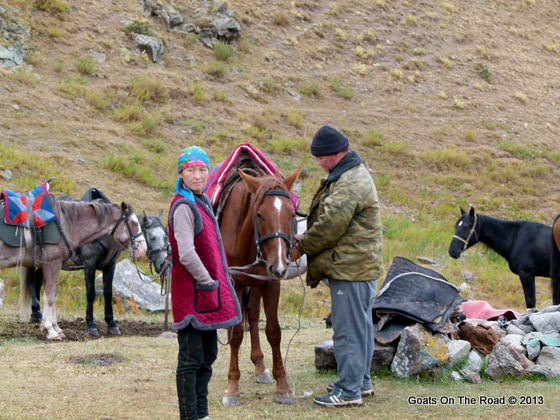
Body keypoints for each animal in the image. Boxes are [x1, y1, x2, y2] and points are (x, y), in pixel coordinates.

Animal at [220, 167, 302, 406]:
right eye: (259, 214)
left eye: (291, 215)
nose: (280, 265)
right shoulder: (235, 282)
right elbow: (236, 333)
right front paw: (232, 388)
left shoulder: (270, 283)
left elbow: (274, 332)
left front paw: (282, 386)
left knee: (254, 314)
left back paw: (260, 366)